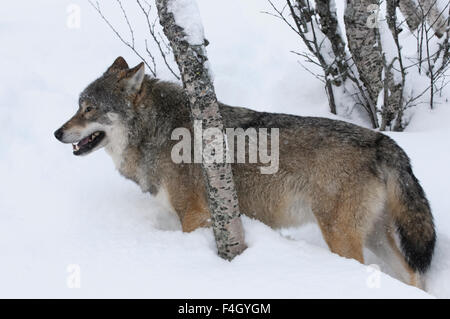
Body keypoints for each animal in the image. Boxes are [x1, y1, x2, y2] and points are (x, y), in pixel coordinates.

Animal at [54, 57, 434, 290]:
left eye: (89, 109)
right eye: (78, 106)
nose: (57, 133)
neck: (157, 131)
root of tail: (382, 140)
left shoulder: (195, 216)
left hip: (341, 237)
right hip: (374, 237)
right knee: (414, 277)